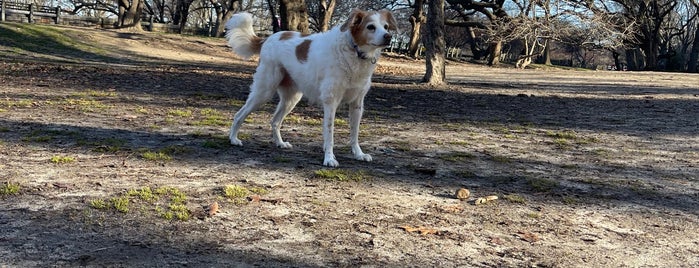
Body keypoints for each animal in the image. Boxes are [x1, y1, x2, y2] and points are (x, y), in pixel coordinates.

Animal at [226, 8, 396, 166]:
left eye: (386, 26)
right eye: (371, 27)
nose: (388, 37)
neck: (354, 51)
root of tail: (268, 38)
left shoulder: (357, 105)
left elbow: (354, 134)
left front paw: (359, 154)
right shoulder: (330, 102)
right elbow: (330, 133)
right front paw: (329, 158)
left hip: (291, 99)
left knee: (275, 121)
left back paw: (280, 143)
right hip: (264, 91)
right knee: (239, 115)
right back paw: (233, 139)